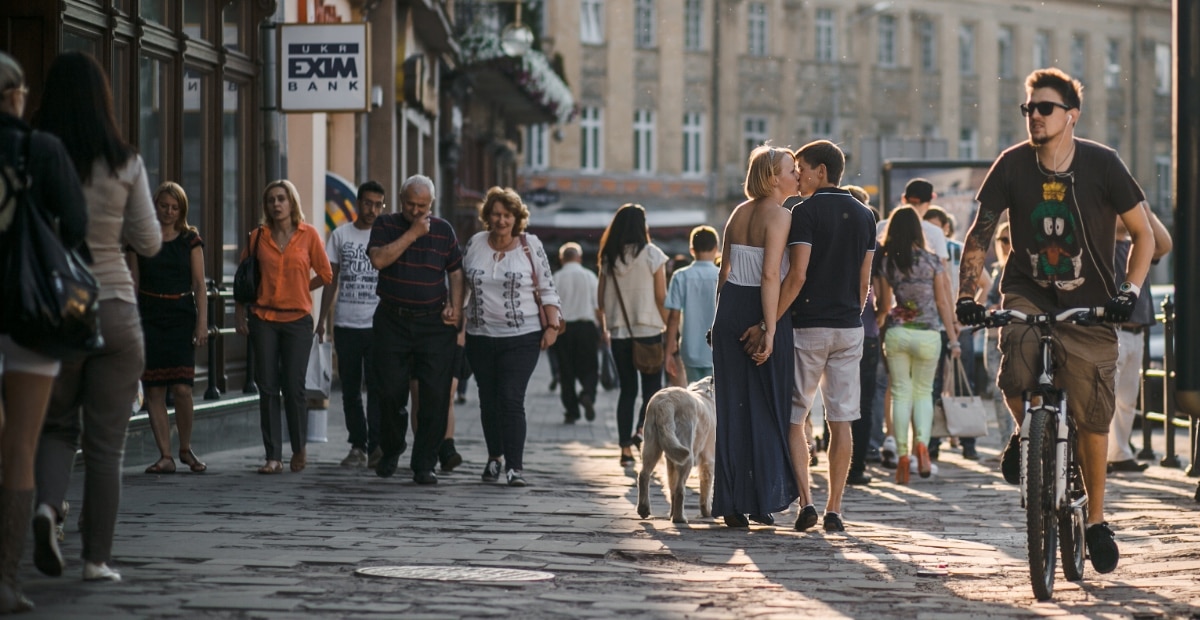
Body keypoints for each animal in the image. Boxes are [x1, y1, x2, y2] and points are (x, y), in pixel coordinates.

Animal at [638, 376, 710, 522]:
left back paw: (643, 509)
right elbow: (707, 486)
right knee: (679, 489)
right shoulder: (709, 459)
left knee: (644, 474)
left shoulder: (670, 460)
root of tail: (665, 402)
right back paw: (679, 518)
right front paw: (707, 512)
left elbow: (671, 485)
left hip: (652, 444)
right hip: (686, 452)